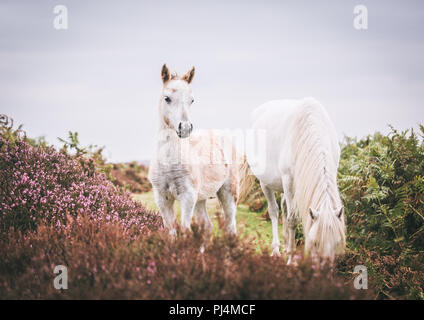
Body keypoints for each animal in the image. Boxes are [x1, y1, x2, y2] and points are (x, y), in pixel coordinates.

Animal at [148, 65, 242, 239]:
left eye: (191, 100)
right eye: (167, 98)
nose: (185, 128)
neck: (169, 164)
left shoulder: (188, 197)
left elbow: (185, 231)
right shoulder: (162, 199)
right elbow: (171, 233)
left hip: (228, 193)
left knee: (230, 226)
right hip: (200, 199)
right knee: (207, 226)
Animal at [247, 98, 346, 264]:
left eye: (336, 243)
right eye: (315, 243)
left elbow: (289, 216)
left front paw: (290, 250)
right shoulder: (288, 180)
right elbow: (292, 219)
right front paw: (292, 260)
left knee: (284, 208)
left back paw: (286, 244)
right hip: (266, 183)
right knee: (274, 211)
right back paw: (277, 250)